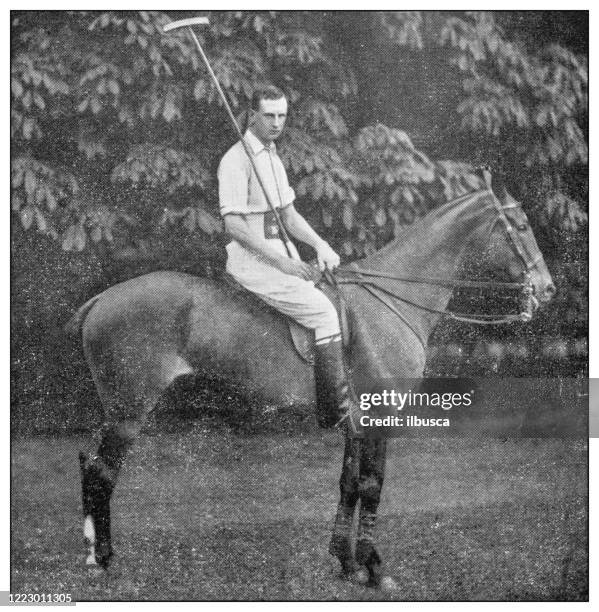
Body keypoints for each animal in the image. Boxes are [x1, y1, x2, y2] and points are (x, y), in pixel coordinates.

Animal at [65, 172, 552, 588]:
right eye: (521, 224)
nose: (547, 288)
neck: (394, 299)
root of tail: (102, 299)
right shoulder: (381, 416)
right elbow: (372, 484)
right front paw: (374, 568)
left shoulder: (355, 422)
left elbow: (349, 483)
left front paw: (345, 561)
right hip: (130, 410)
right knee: (103, 471)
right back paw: (103, 557)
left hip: (116, 409)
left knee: (89, 462)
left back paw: (91, 551)